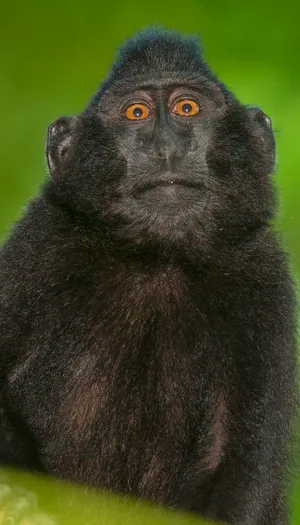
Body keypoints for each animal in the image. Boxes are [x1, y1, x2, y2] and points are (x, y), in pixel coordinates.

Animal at [0, 28, 298, 524]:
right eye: (136, 113)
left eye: (187, 108)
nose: (167, 149)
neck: (158, 259)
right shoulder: (36, 249)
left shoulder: (264, 281)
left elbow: (237, 465)